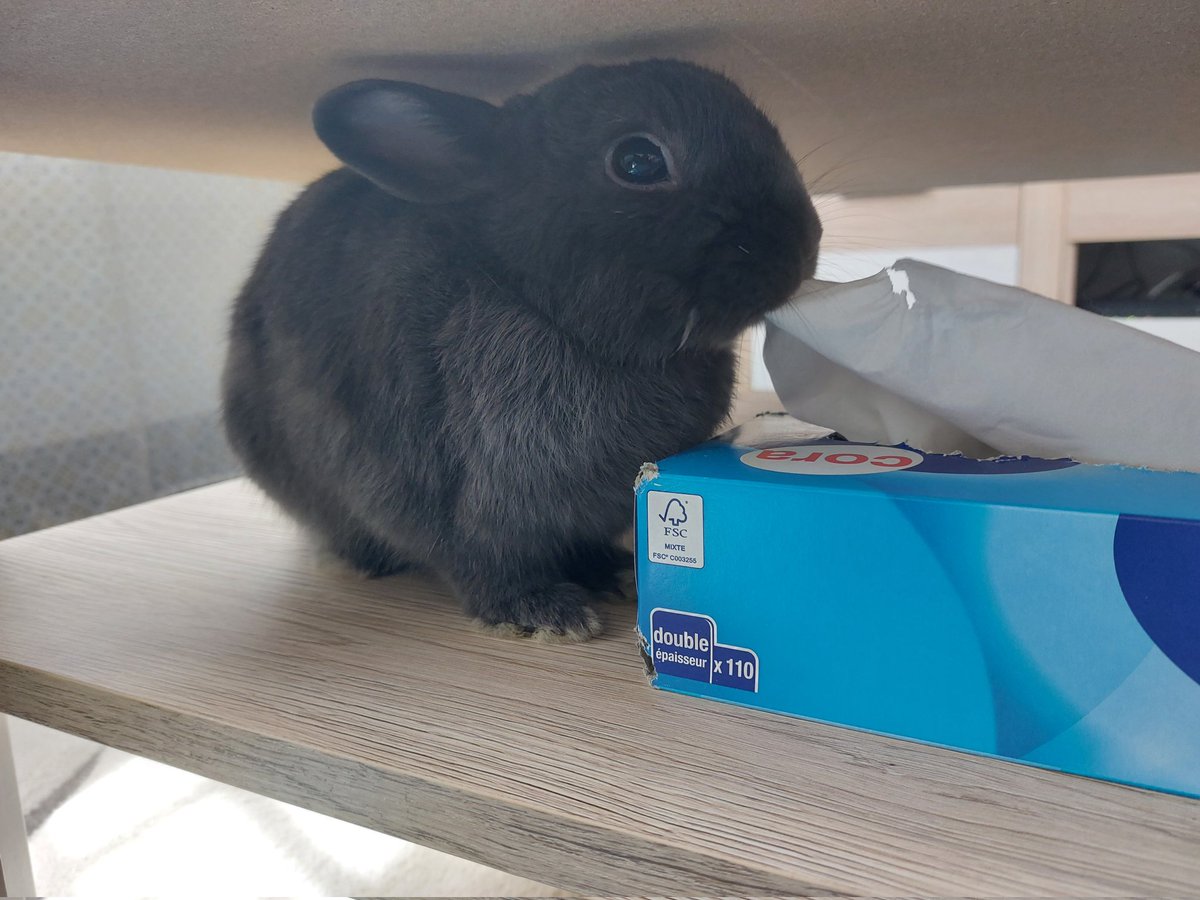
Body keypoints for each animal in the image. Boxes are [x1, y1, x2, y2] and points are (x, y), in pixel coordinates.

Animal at [222, 59, 821, 641]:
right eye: (638, 162)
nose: (805, 245)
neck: (542, 306)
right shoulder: (428, 486)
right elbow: (475, 560)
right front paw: (541, 612)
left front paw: (611, 572)